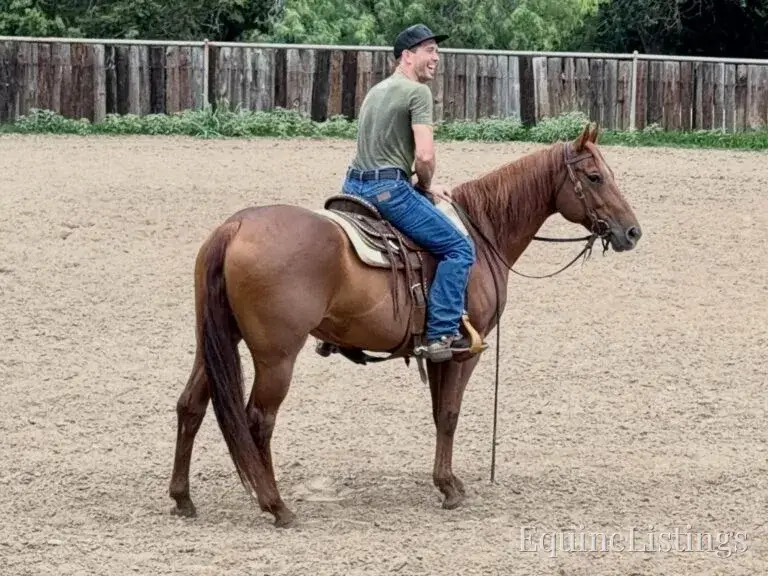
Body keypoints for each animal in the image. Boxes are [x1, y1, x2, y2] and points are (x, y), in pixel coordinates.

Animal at [167, 123, 642, 528]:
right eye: (595, 177)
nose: (632, 232)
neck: (481, 233)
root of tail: (234, 227)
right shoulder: (463, 351)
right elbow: (449, 413)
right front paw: (450, 488)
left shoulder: (436, 352)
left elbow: (437, 413)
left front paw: (445, 480)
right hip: (277, 356)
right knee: (257, 420)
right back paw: (277, 506)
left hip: (216, 342)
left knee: (190, 405)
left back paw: (183, 498)